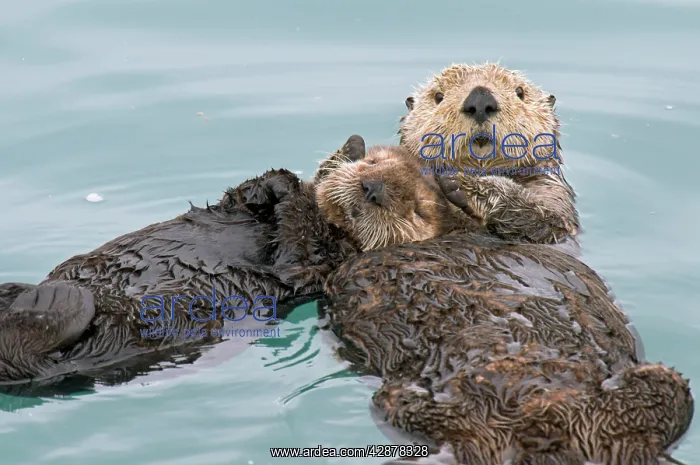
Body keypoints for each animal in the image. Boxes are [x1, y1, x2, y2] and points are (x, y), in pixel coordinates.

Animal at [315, 138, 692, 464]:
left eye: (417, 209)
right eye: (373, 164)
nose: (372, 189)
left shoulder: (546, 234)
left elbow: (539, 220)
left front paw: (461, 184)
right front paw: (346, 156)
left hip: (655, 399)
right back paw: (410, 398)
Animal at [397, 63, 579, 245]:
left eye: (520, 92)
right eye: (439, 96)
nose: (480, 100)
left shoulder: (553, 193)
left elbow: (544, 219)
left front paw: (460, 182)